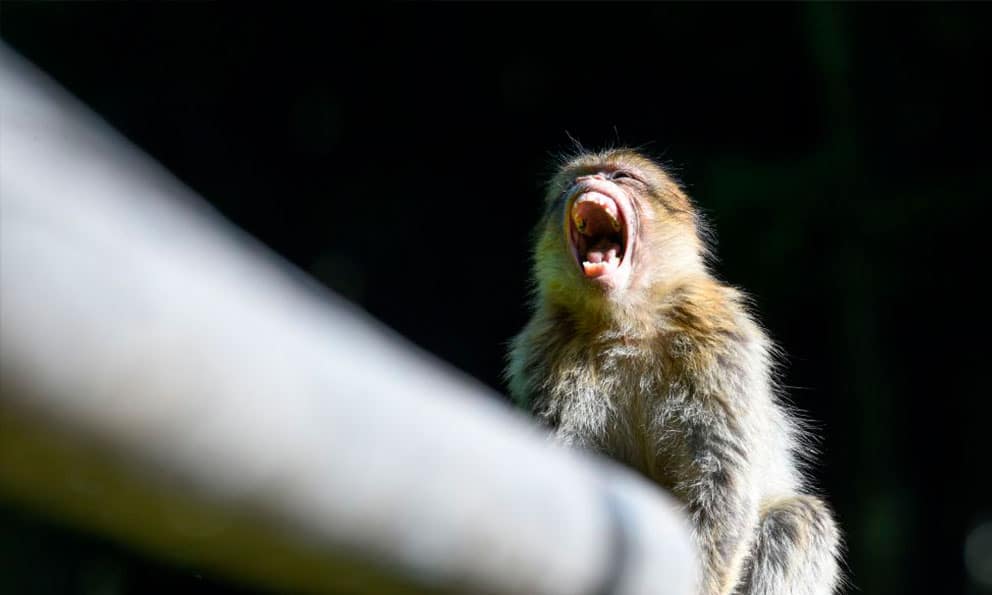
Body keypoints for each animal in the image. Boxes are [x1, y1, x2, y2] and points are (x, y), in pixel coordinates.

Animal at [508, 149, 840, 595]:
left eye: (622, 176)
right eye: (572, 182)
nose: (591, 182)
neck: (625, 322)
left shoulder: (719, 341)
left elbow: (721, 477)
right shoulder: (543, 355)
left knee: (798, 519)